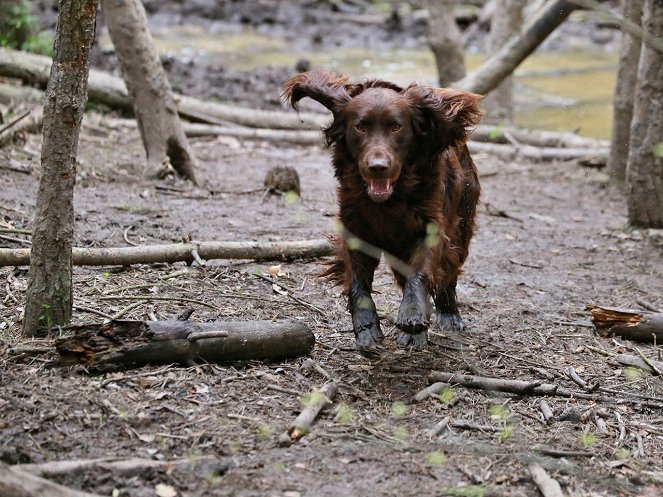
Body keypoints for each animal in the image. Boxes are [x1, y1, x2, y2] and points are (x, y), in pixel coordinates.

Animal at [282, 71, 482, 354]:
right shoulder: (356, 230)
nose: (378, 167)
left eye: (396, 127)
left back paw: (446, 316)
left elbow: (421, 273)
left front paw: (412, 314)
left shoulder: (430, 228)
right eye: (361, 126)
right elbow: (358, 283)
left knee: (448, 272)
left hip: (461, 224)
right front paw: (366, 328)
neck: (389, 201)